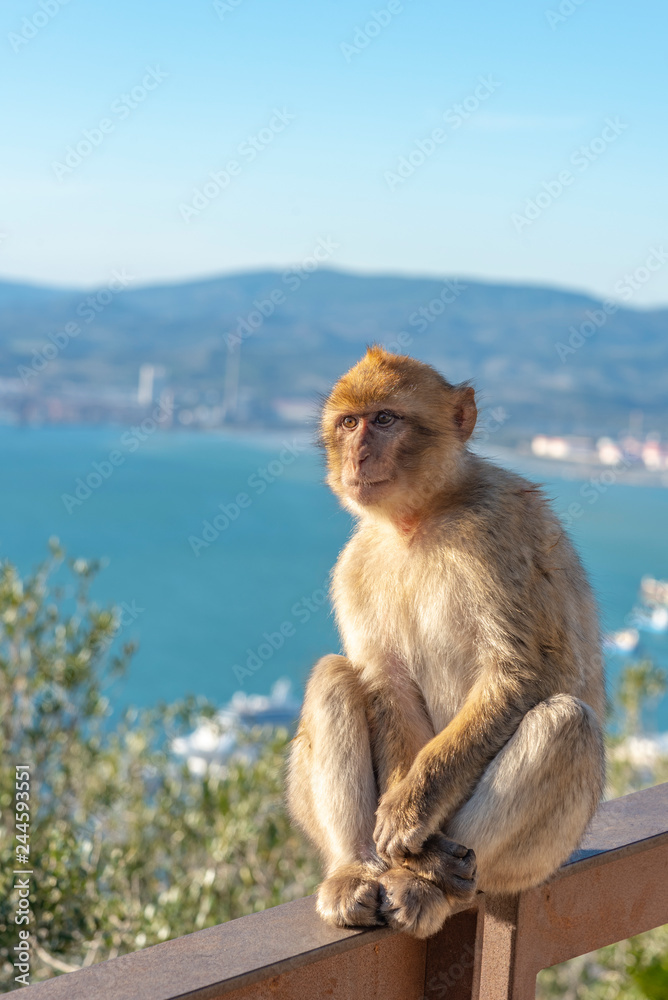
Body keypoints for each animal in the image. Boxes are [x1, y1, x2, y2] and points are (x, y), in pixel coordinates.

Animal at [286, 346, 605, 939]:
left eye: (385, 419)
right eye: (349, 423)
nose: (357, 455)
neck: (420, 520)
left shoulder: (502, 529)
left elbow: (524, 673)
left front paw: (411, 811)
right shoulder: (354, 566)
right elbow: (385, 681)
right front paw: (403, 823)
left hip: (538, 860)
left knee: (566, 722)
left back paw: (427, 880)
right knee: (335, 676)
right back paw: (358, 870)